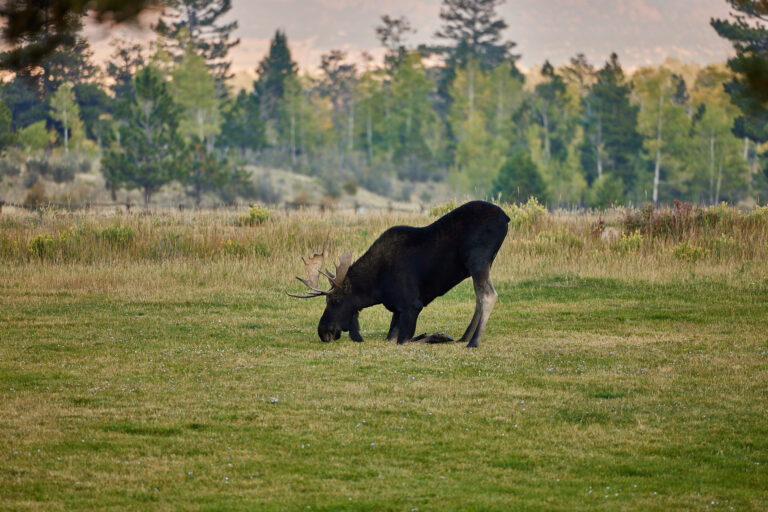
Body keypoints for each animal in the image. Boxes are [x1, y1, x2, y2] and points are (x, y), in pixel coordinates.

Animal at [288, 201, 510, 348]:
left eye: (336, 301)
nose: (323, 331)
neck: (376, 289)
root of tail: (506, 219)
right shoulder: (397, 310)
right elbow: (393, 337)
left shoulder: (412, 306)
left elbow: (405, 341)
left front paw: (439, 336)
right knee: (479, 298)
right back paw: (465, 336)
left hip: (478, 260)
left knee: (488, 295)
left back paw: (473, 341)